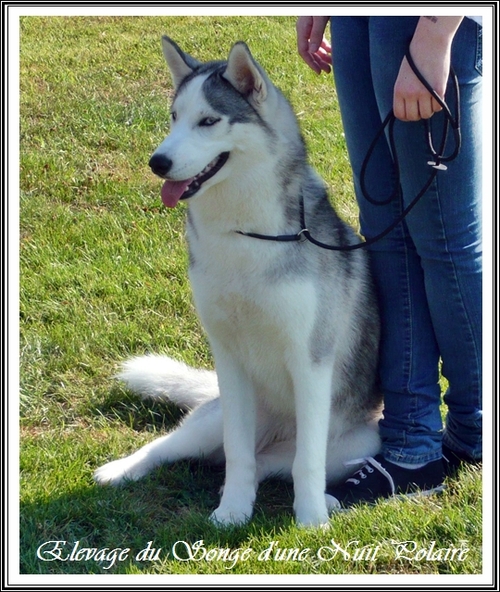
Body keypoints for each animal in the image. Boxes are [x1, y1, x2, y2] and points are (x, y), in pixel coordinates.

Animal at [94, 37, 382, 528]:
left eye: (209, 121)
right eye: (174, 116)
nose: (157, 162)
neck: (242, 232)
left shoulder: (311, 361)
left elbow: (305, 461)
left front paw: (310, 518)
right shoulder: (227, 356)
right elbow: (237, 452)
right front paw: (231, 510)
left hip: (361, 442)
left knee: (282, 461)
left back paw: (322, 499)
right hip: (215, 417)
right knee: (182, 447)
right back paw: (123, 470)